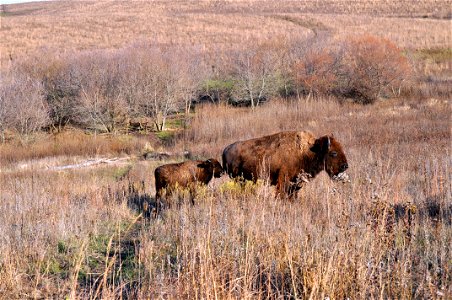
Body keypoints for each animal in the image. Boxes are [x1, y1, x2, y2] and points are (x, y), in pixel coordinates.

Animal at [222, 131, 350, 197]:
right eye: (333, 153)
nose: (345, 166)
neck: (308, 151)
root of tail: (226, 149)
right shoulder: (283, 180)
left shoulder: (295, 184)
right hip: (238, 179)